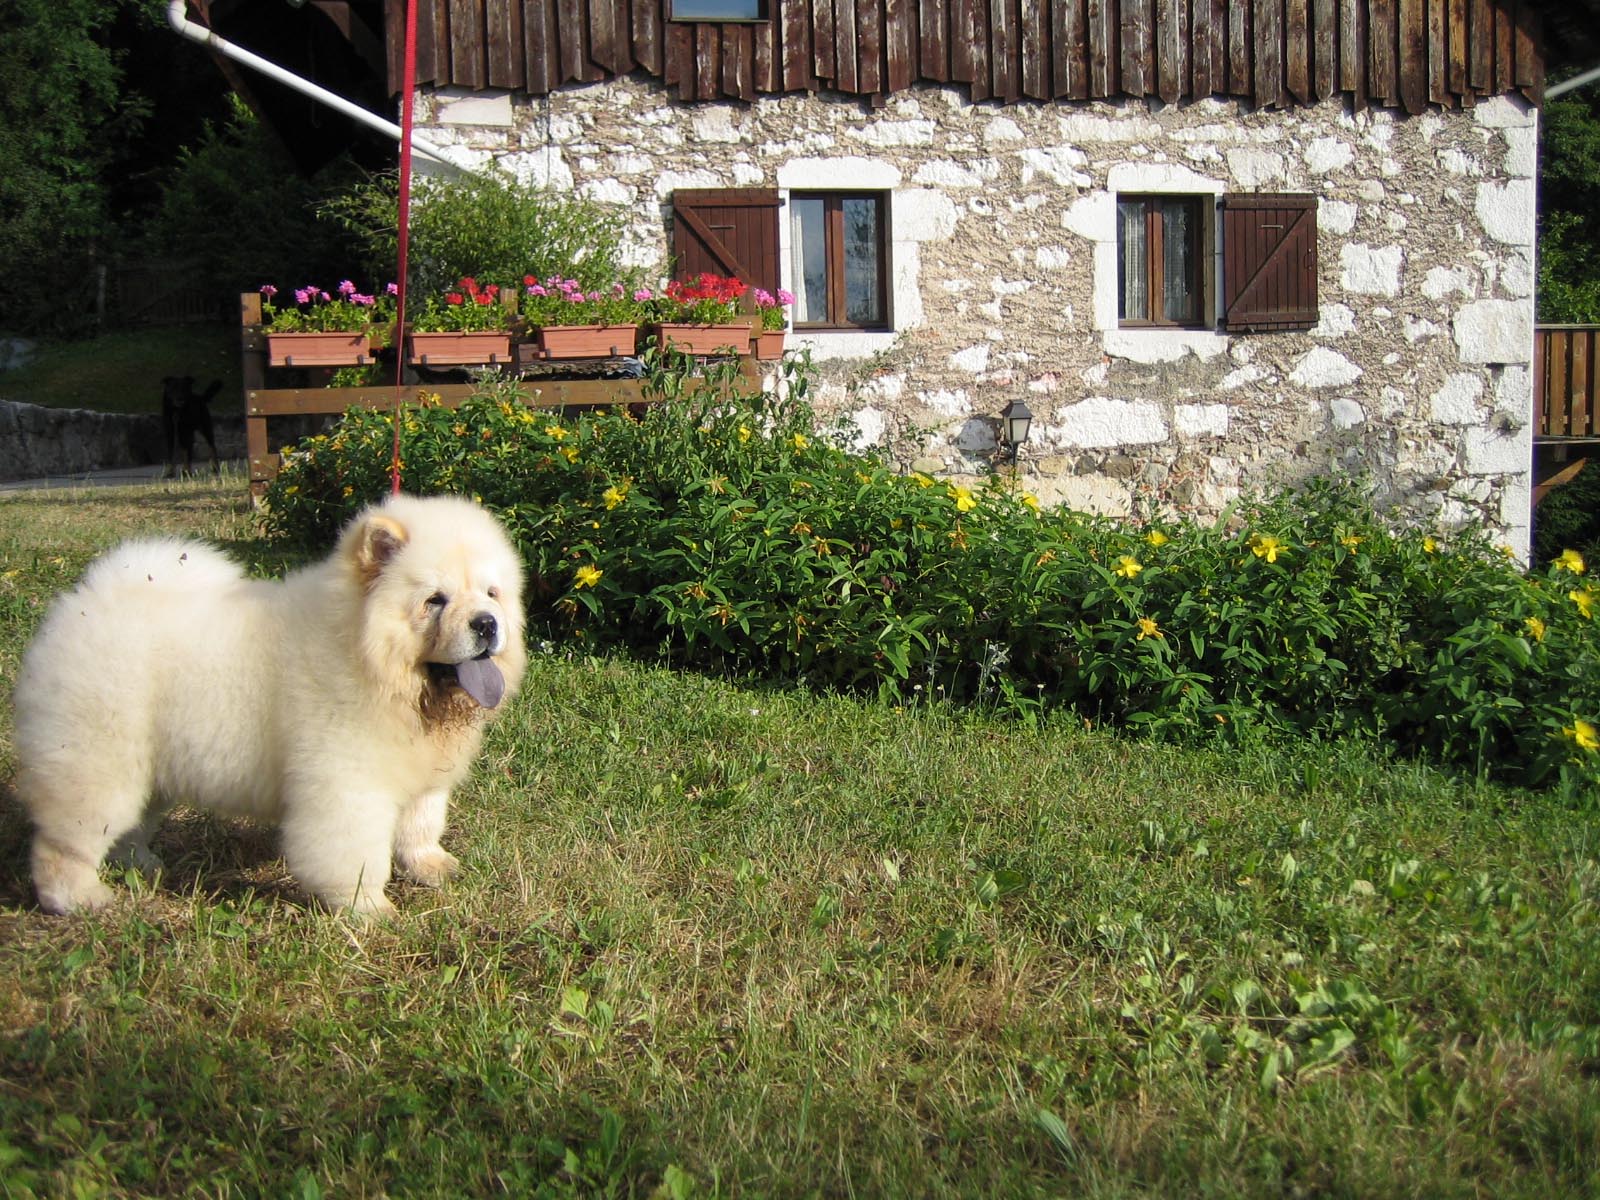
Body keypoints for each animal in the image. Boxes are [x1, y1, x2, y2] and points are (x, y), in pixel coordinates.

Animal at [14, 492, 524, 915]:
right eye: (435, 601)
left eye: (491, 593)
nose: (486, 623)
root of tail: (87, 602)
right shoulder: (348, 783)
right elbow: (355, 854)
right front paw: (369, 909)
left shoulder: (422, 774)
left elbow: (421, 824)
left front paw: (432, 867)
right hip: (99, 763)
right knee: (66, 841)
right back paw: (79, 899)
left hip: (149, 768)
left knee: (130, 825)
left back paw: (141, 864)